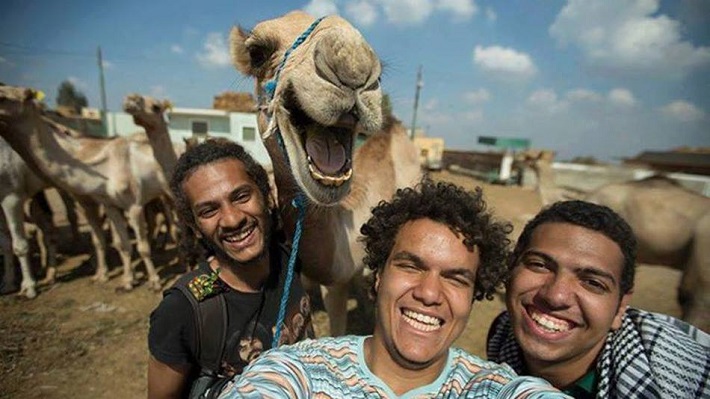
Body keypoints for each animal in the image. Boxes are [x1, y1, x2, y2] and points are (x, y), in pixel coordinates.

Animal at [0, 85, 168, 290]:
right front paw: (123, 279)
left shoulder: (131, 205)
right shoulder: (105, 204)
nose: (131, 99)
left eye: (3, 97)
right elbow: (117, 243)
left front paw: (154, 280)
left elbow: (139, 246)